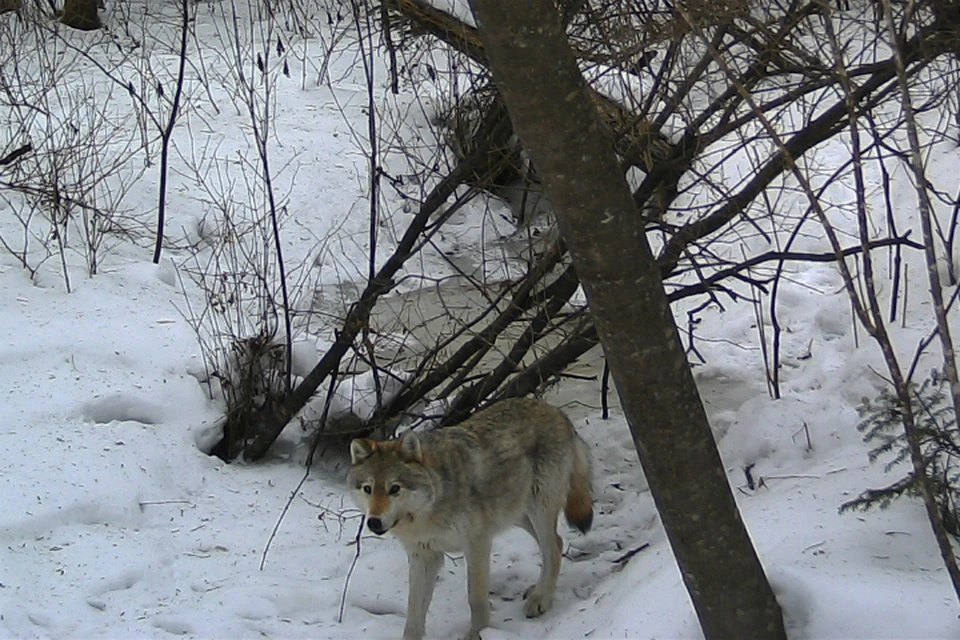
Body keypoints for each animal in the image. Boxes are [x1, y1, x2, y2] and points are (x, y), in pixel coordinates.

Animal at [346, 398, 592, 636]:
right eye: (368, 489)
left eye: (394, 489)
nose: (374, 522)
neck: (427, 515)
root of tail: (555, 410)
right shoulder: (423, 556)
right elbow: (413, 613)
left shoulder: (477, 544)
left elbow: (475, 598)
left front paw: (477, 633)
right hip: (517, 516)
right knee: (555, 543)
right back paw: (537, 590)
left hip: (537, 509)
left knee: (553, 548)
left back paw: (541, 599)